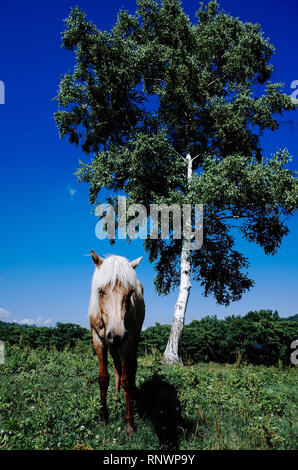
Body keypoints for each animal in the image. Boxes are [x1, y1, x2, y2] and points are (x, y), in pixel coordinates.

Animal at [88, 250, 145, 436]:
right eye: (100, 291)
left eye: (130, 292)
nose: (117, 334)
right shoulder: (99, 340)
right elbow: (103, 378)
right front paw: (104, 417)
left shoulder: (127, 341)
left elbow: (127, 378)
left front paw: (129, 423)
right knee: (117, 367)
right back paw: (116, 395)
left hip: (133, 338)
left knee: (131, 367)